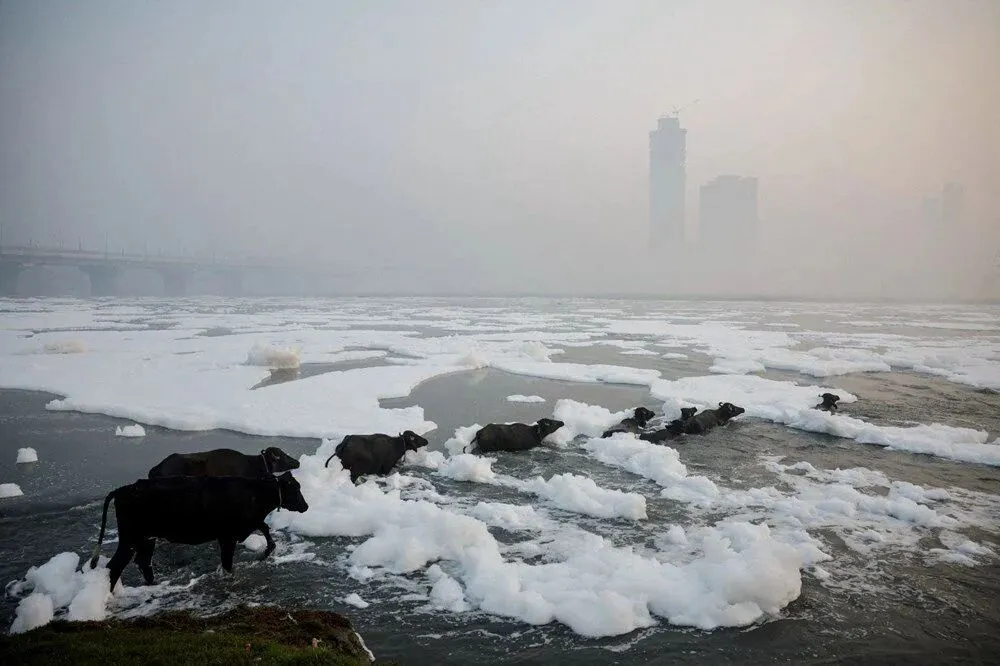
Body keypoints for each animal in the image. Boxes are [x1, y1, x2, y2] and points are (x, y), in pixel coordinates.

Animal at [90, 472, 308, 588]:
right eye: (296, 488)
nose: (305, 506)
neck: (254, 494)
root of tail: (123, 489)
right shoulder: (227, 536)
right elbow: (227, 563)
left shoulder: (245, 526)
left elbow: (265, 527)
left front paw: (267, 550)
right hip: (130, 538)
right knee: (115, 566)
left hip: (147, 538)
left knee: (143, 562)